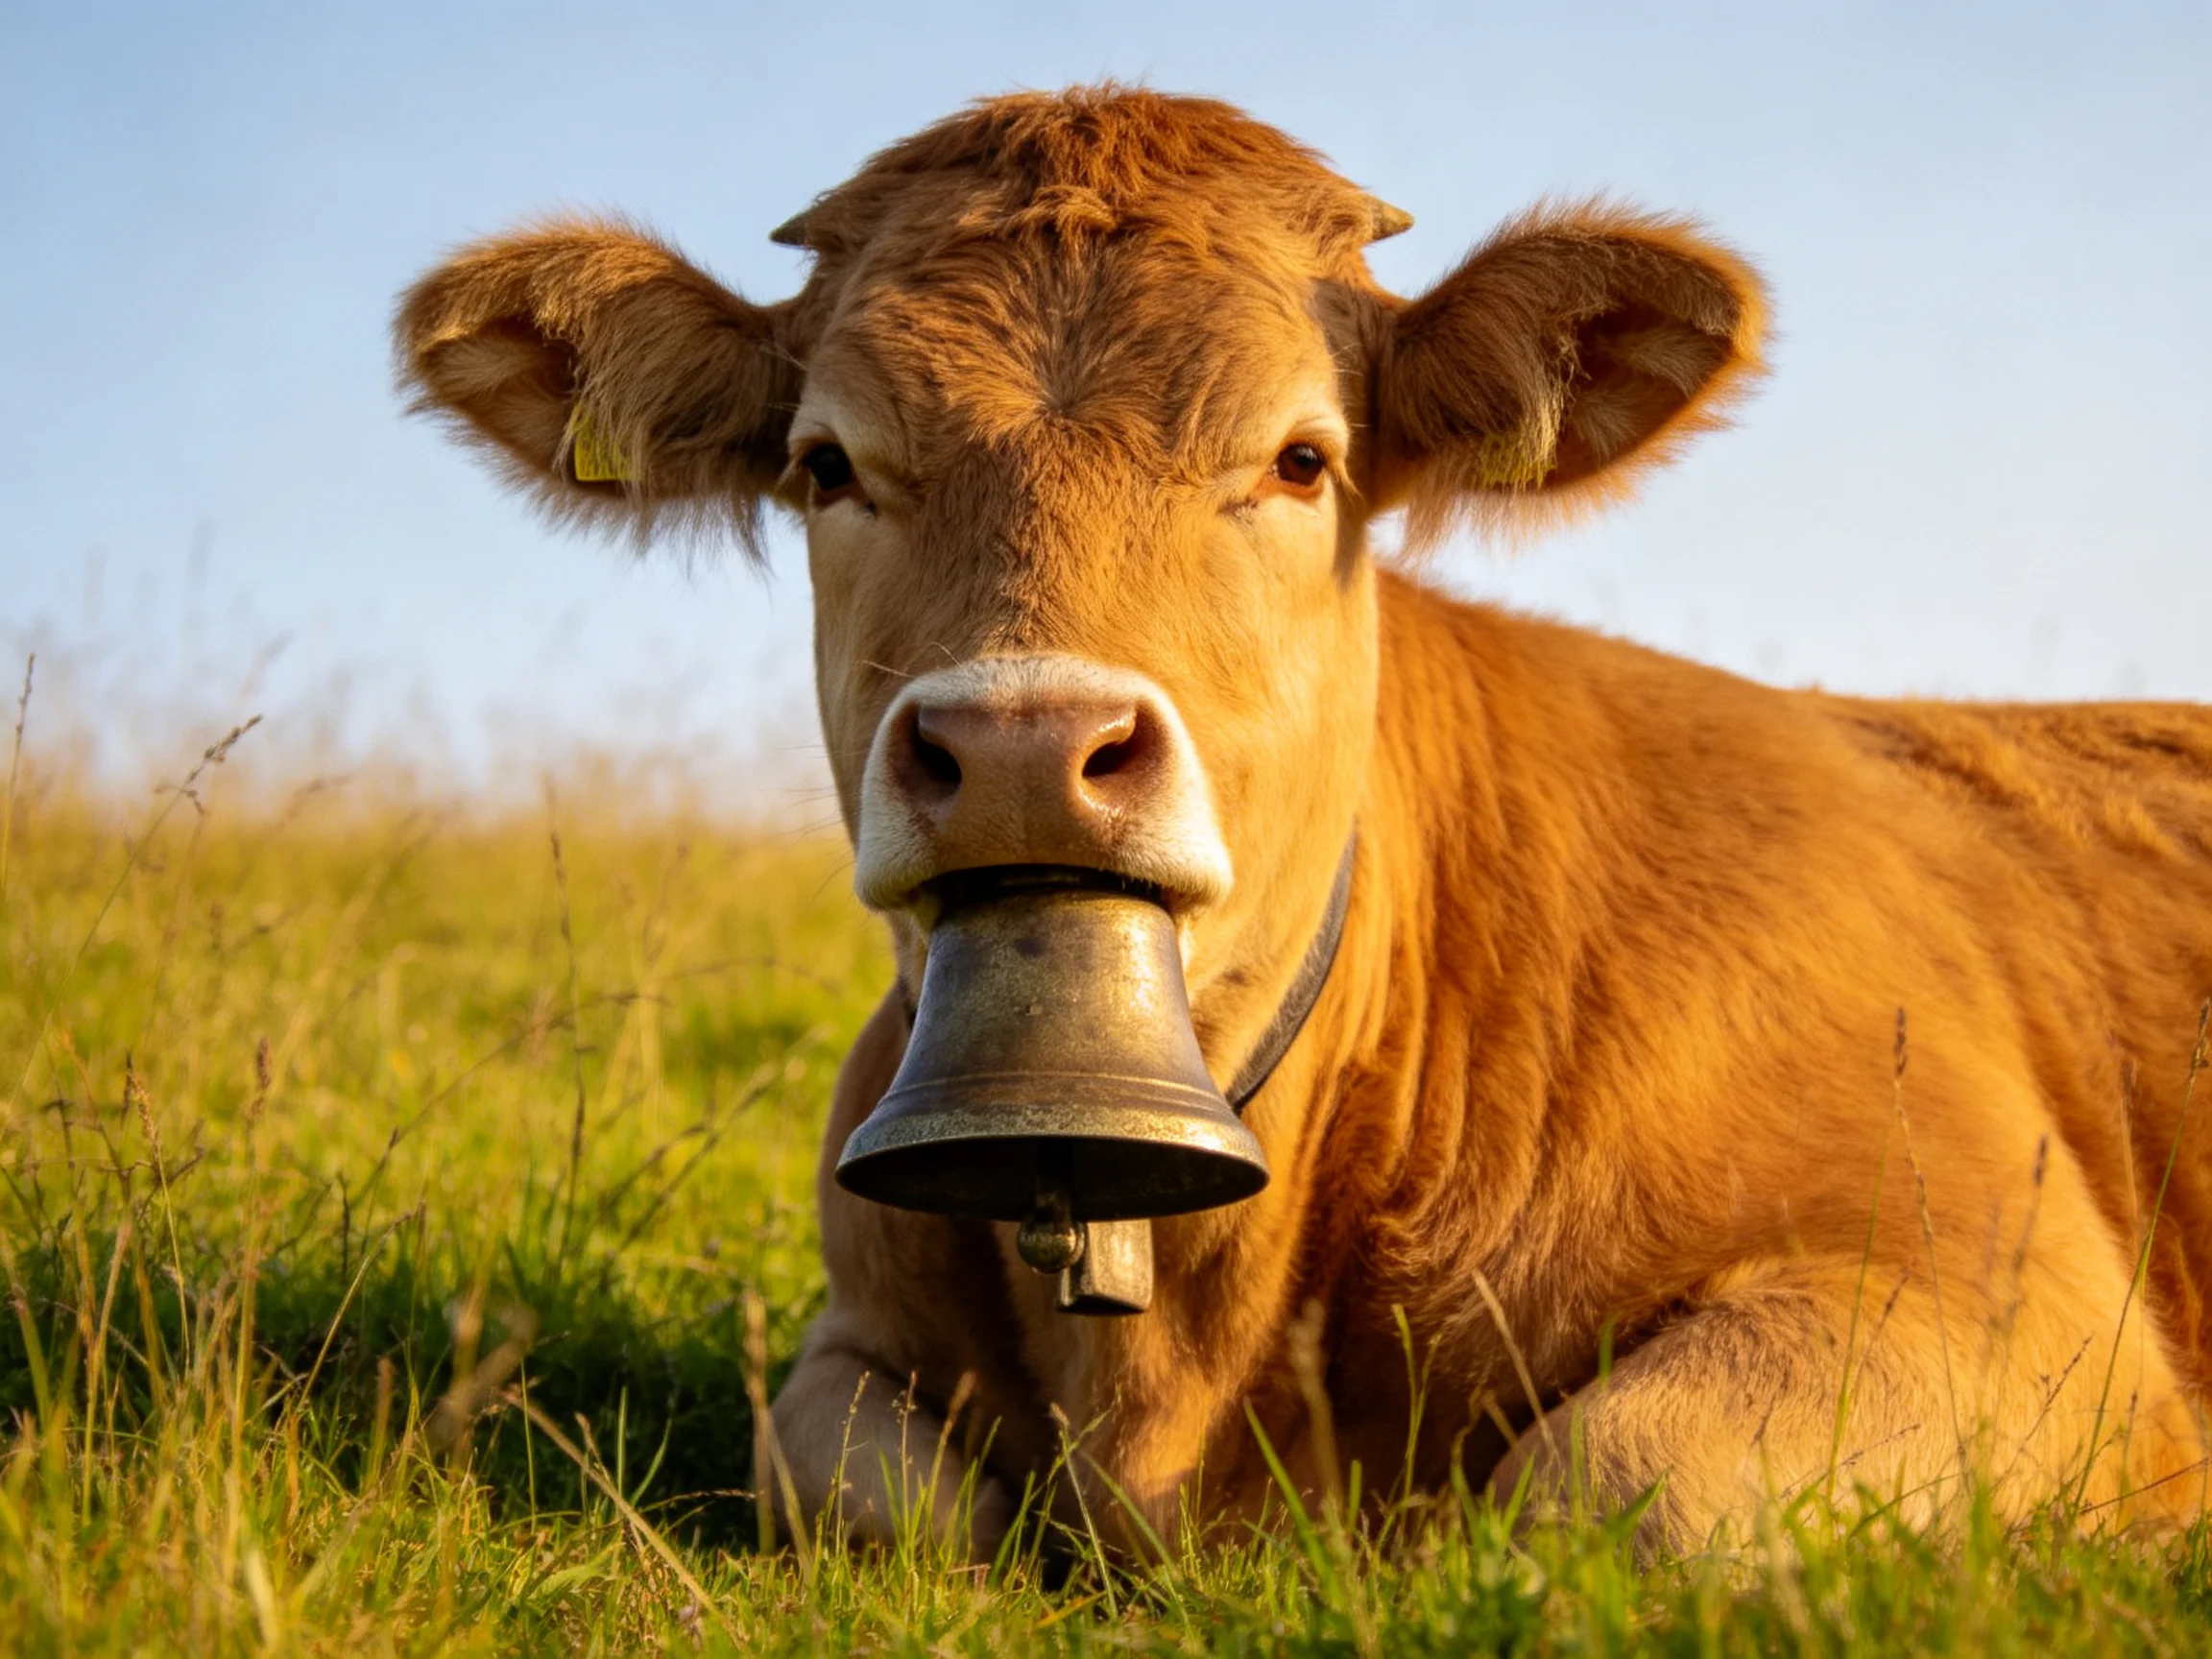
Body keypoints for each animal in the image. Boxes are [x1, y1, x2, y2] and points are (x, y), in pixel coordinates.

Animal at [397, 86, 2212, 1558]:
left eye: (1299, 458)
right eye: (827, 464)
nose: (1021, 744)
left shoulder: (2010, 1299)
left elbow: (1619, 1483)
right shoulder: (851, 1339)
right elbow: (858, 1487)